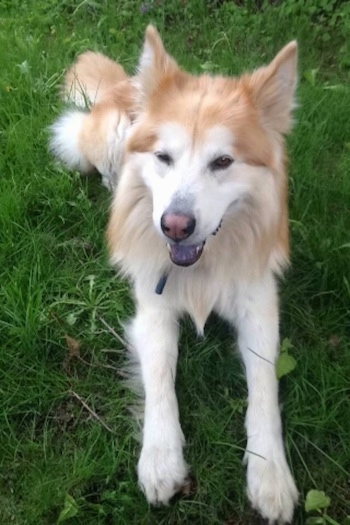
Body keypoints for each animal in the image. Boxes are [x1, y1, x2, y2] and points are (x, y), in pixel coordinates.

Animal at [50, 26, 300, 520]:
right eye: (163, 157)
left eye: (223, 162)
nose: (174, 225)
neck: (203, 264)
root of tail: (128, 82)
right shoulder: (153, 310)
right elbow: (160, 377)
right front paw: (161, 459)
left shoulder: (260, 306)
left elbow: (264, 387)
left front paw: (270, 474)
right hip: (109, 134)